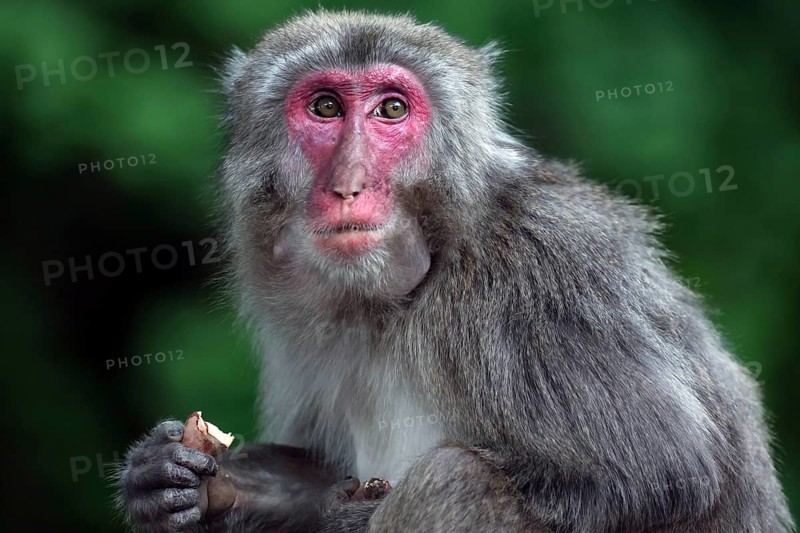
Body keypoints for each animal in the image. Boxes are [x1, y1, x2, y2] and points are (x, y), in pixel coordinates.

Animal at [115, 10, 794, 533]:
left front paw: (344, 519)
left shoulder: (545, 277)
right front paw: (181, 480)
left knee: (453, 478)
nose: (348, 185)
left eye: (391, 109)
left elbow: (663, 476)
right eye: (325, 106)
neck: (412, 291)